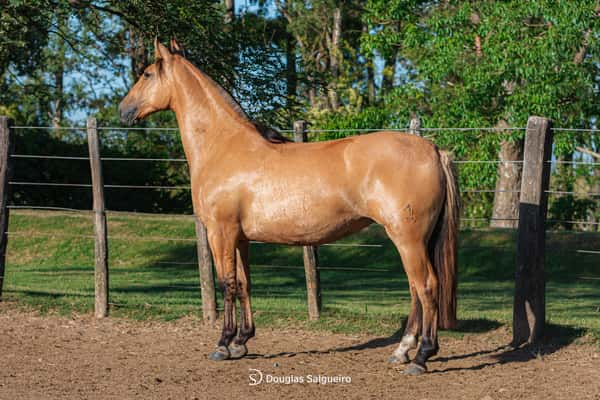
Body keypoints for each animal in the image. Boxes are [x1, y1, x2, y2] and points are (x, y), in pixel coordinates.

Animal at [120, 37, 460, 376]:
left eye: (147, 74)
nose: (123, 111)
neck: (222, 145)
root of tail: (433, 149)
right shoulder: (240, 238)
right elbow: (244, 283)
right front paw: (242, 341)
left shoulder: (221, 233)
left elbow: (226, 283)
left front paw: (223, 344)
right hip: (414, 241)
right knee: (416, 290)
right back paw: (402, 351)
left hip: (408, 239)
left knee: (426, 286)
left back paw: (421, 357)